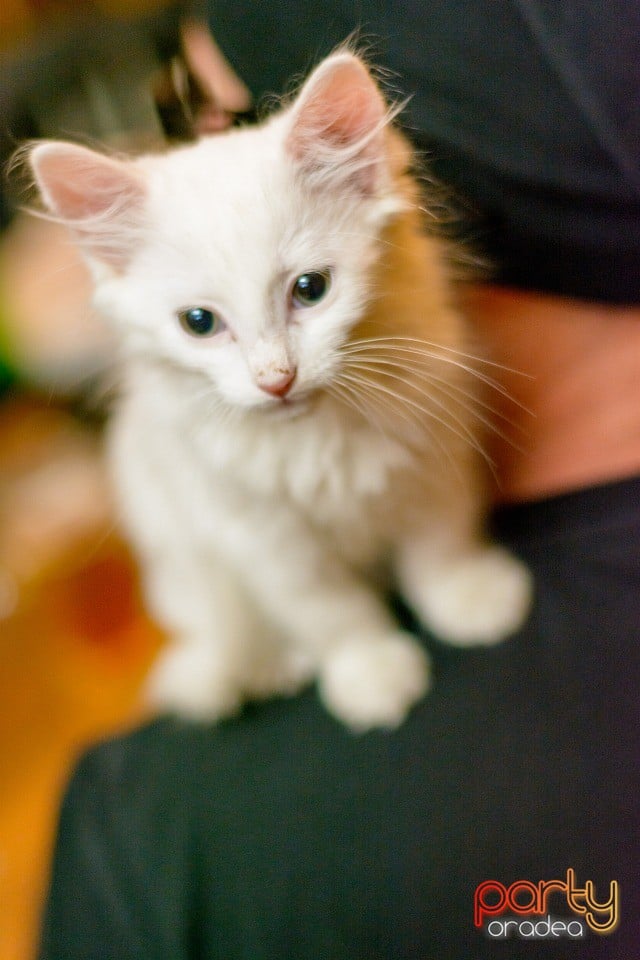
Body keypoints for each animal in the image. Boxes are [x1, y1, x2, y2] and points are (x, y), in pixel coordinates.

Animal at [28, 50, 528, 728]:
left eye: (310, 289)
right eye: (199, 322)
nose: (275, 379)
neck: (323, 443)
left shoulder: (432, 458)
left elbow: (440, 546)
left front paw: (467, 597)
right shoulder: (262, 537)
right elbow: (330, 610)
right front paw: (370, 671)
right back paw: (266, 666)